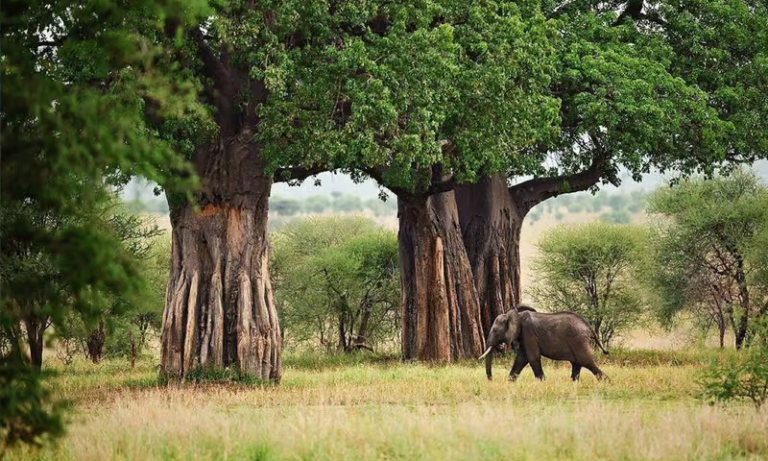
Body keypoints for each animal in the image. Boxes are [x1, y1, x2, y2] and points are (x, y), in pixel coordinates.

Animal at [479, 305, 608, 381]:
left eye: (495, 331)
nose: (491, 379)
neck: (516, 315)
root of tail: (590, 329)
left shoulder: (528, 333)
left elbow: (532, 358)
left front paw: (542, 382)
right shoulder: (524, 337)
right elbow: (521, 359)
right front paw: (510, 382)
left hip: (579, 341)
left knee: (586, 362)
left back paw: (607, 382)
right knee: (577, 364)